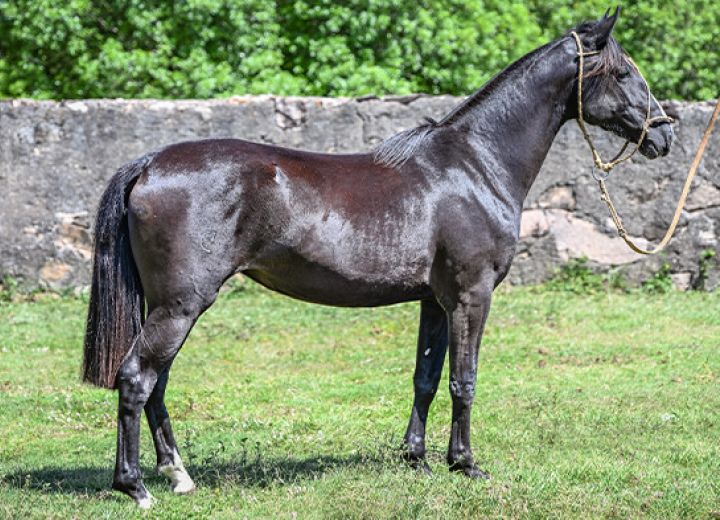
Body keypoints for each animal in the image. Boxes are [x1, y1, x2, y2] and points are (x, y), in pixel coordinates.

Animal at [83, 11, 668, 508]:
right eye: (621, 73)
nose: (663, 133)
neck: (475, 165)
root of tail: (151, 164)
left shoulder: (436, 302)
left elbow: (426, 378)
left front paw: (417, 459)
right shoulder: (471, 296)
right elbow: (464, 380)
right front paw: (465, 465)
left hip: (171, 305)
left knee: (155, 383)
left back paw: (178, 474)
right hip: (181, 304)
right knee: (136, 378)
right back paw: (135, 487)